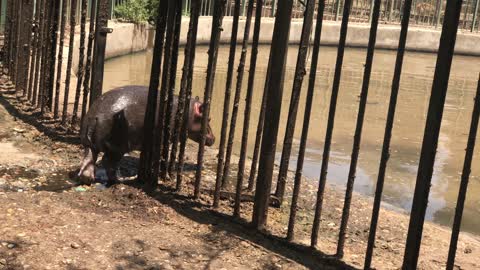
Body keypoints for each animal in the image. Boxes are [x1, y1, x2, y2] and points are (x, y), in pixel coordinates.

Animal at [78, 86, 216, 186]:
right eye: (208, 118)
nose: (214, 139)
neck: (188, 112)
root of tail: (95, 116)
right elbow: (158, 157)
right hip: (118, 147)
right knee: (107, 162)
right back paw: (120, 180)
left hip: (90, 144)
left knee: (89, 159)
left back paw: (89, 180)